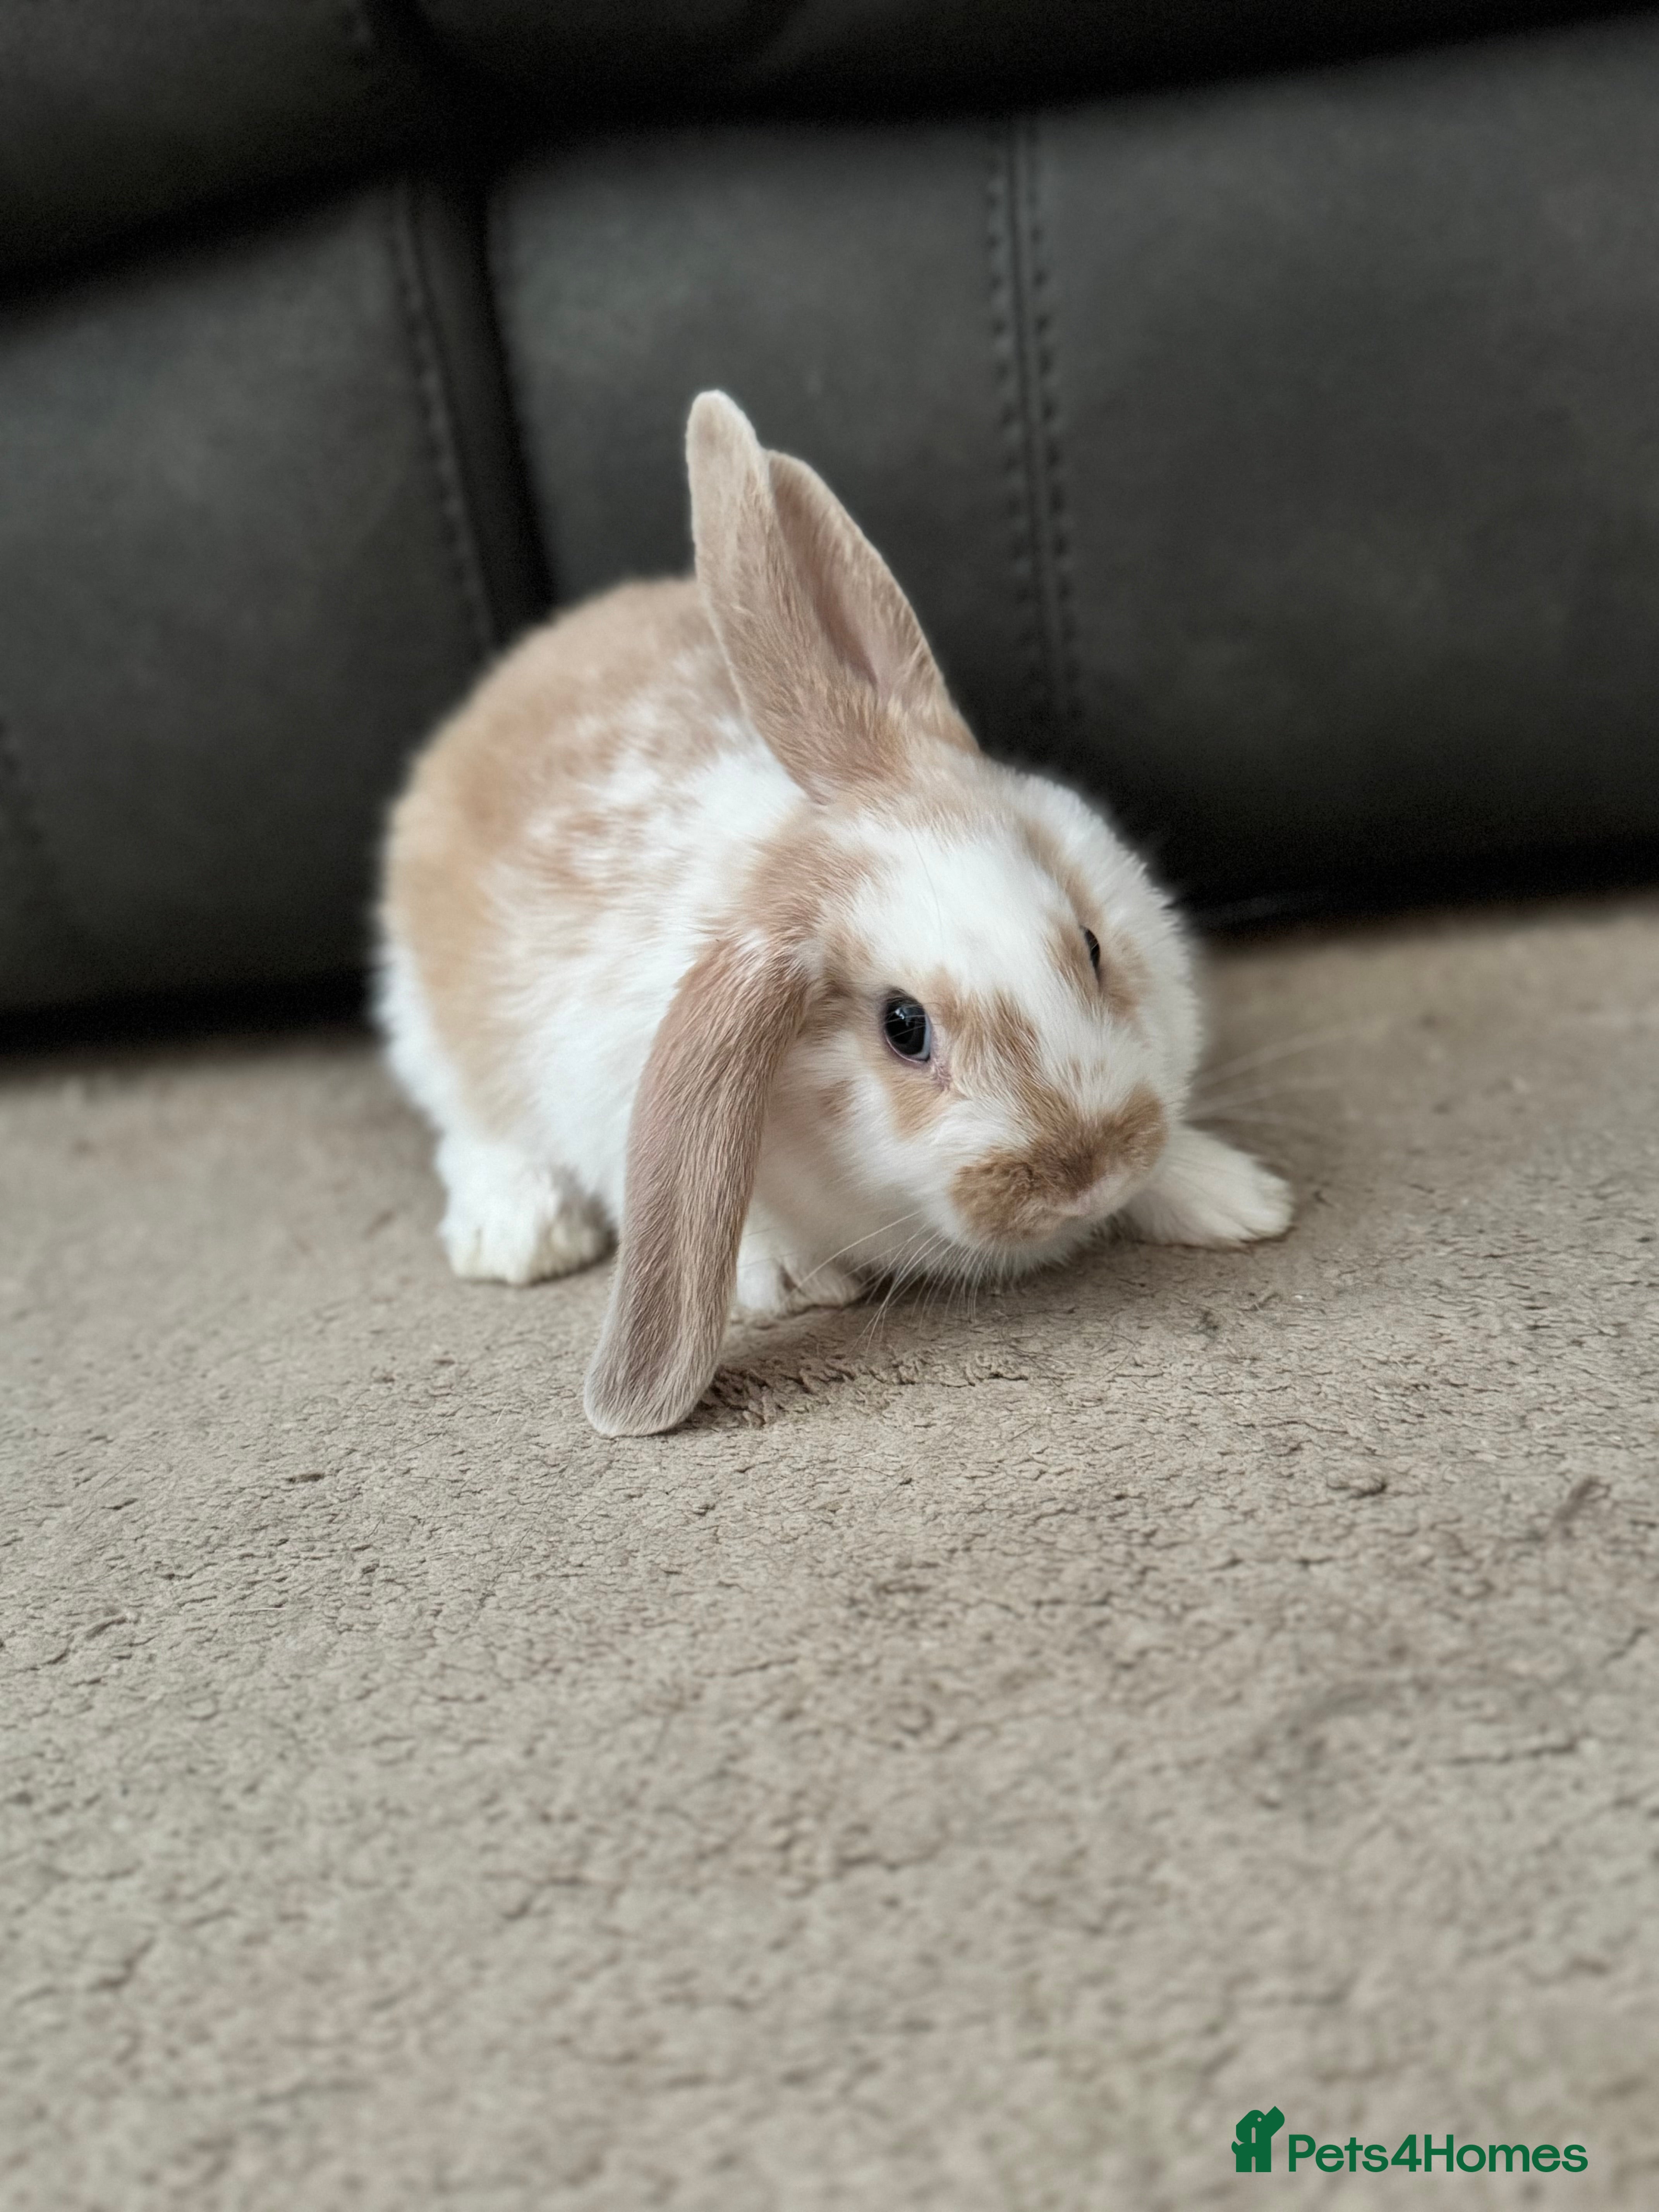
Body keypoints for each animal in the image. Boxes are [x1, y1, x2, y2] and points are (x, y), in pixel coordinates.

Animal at [377, 391, 1292, 1437]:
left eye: (1095, 945)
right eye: (903, 1028)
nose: (1086, 1169)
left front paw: (1241, 1198)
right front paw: (789, 1280)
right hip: (427, 1026)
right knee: (473, 1128)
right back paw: (518, 1233)